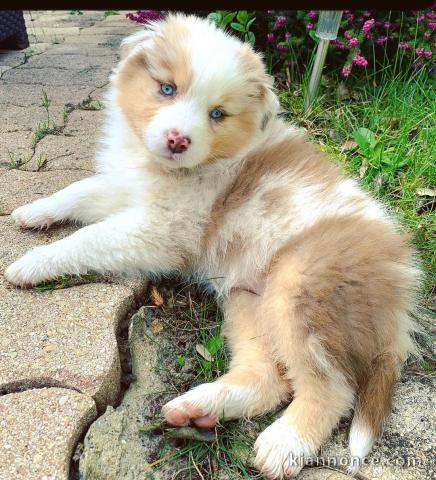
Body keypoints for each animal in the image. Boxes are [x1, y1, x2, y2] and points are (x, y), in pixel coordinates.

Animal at [3, 13, 418, 478]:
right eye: (167, 88)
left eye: (217, 114)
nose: (177, 141)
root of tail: (401, 295)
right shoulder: (125, 188)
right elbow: (79, 190)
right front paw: (32, 211)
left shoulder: (160, 230)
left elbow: (89, 237)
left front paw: (32, 262)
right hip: (248, 301)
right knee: (269, 378)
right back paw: (198, 407)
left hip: (302, 289)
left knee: (333, 388)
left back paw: (285, 444)